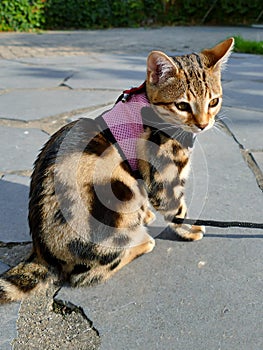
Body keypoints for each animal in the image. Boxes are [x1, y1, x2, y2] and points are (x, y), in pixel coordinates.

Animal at [0, 37, 235, 302]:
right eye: (182, 105)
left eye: (214, 102)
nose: (204, 124)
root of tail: (41, 254)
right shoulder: (164, 180)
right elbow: (177, 209)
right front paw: (189, 229)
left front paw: (148, 213)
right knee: (85, 275)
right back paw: (142, 242)